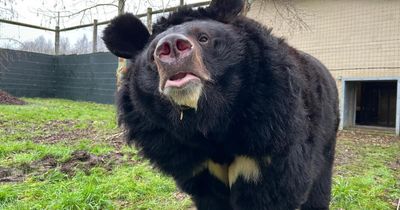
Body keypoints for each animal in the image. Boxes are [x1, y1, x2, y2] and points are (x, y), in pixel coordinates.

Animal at [102, 0, 338, 209]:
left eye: (204, 38)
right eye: (152, 55)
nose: (171, 47)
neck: (211, 122)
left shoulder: (269, 136)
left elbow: (273, 193)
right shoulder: (191, 160)